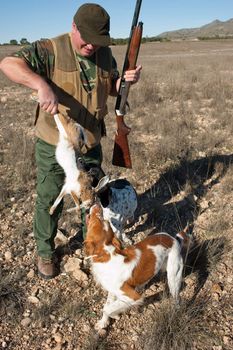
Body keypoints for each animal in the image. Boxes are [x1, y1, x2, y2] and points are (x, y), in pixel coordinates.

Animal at [84, 204, 190, 334]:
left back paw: (175, 310)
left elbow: (107, 308)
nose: (97, 205)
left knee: (176, 297)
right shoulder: (112, 290)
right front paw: (103, 323)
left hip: (173, 277)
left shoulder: (132, 297)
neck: (107, 254)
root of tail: (174, 238)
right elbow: (106, 305)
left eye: (98, 217)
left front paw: (114, 315)